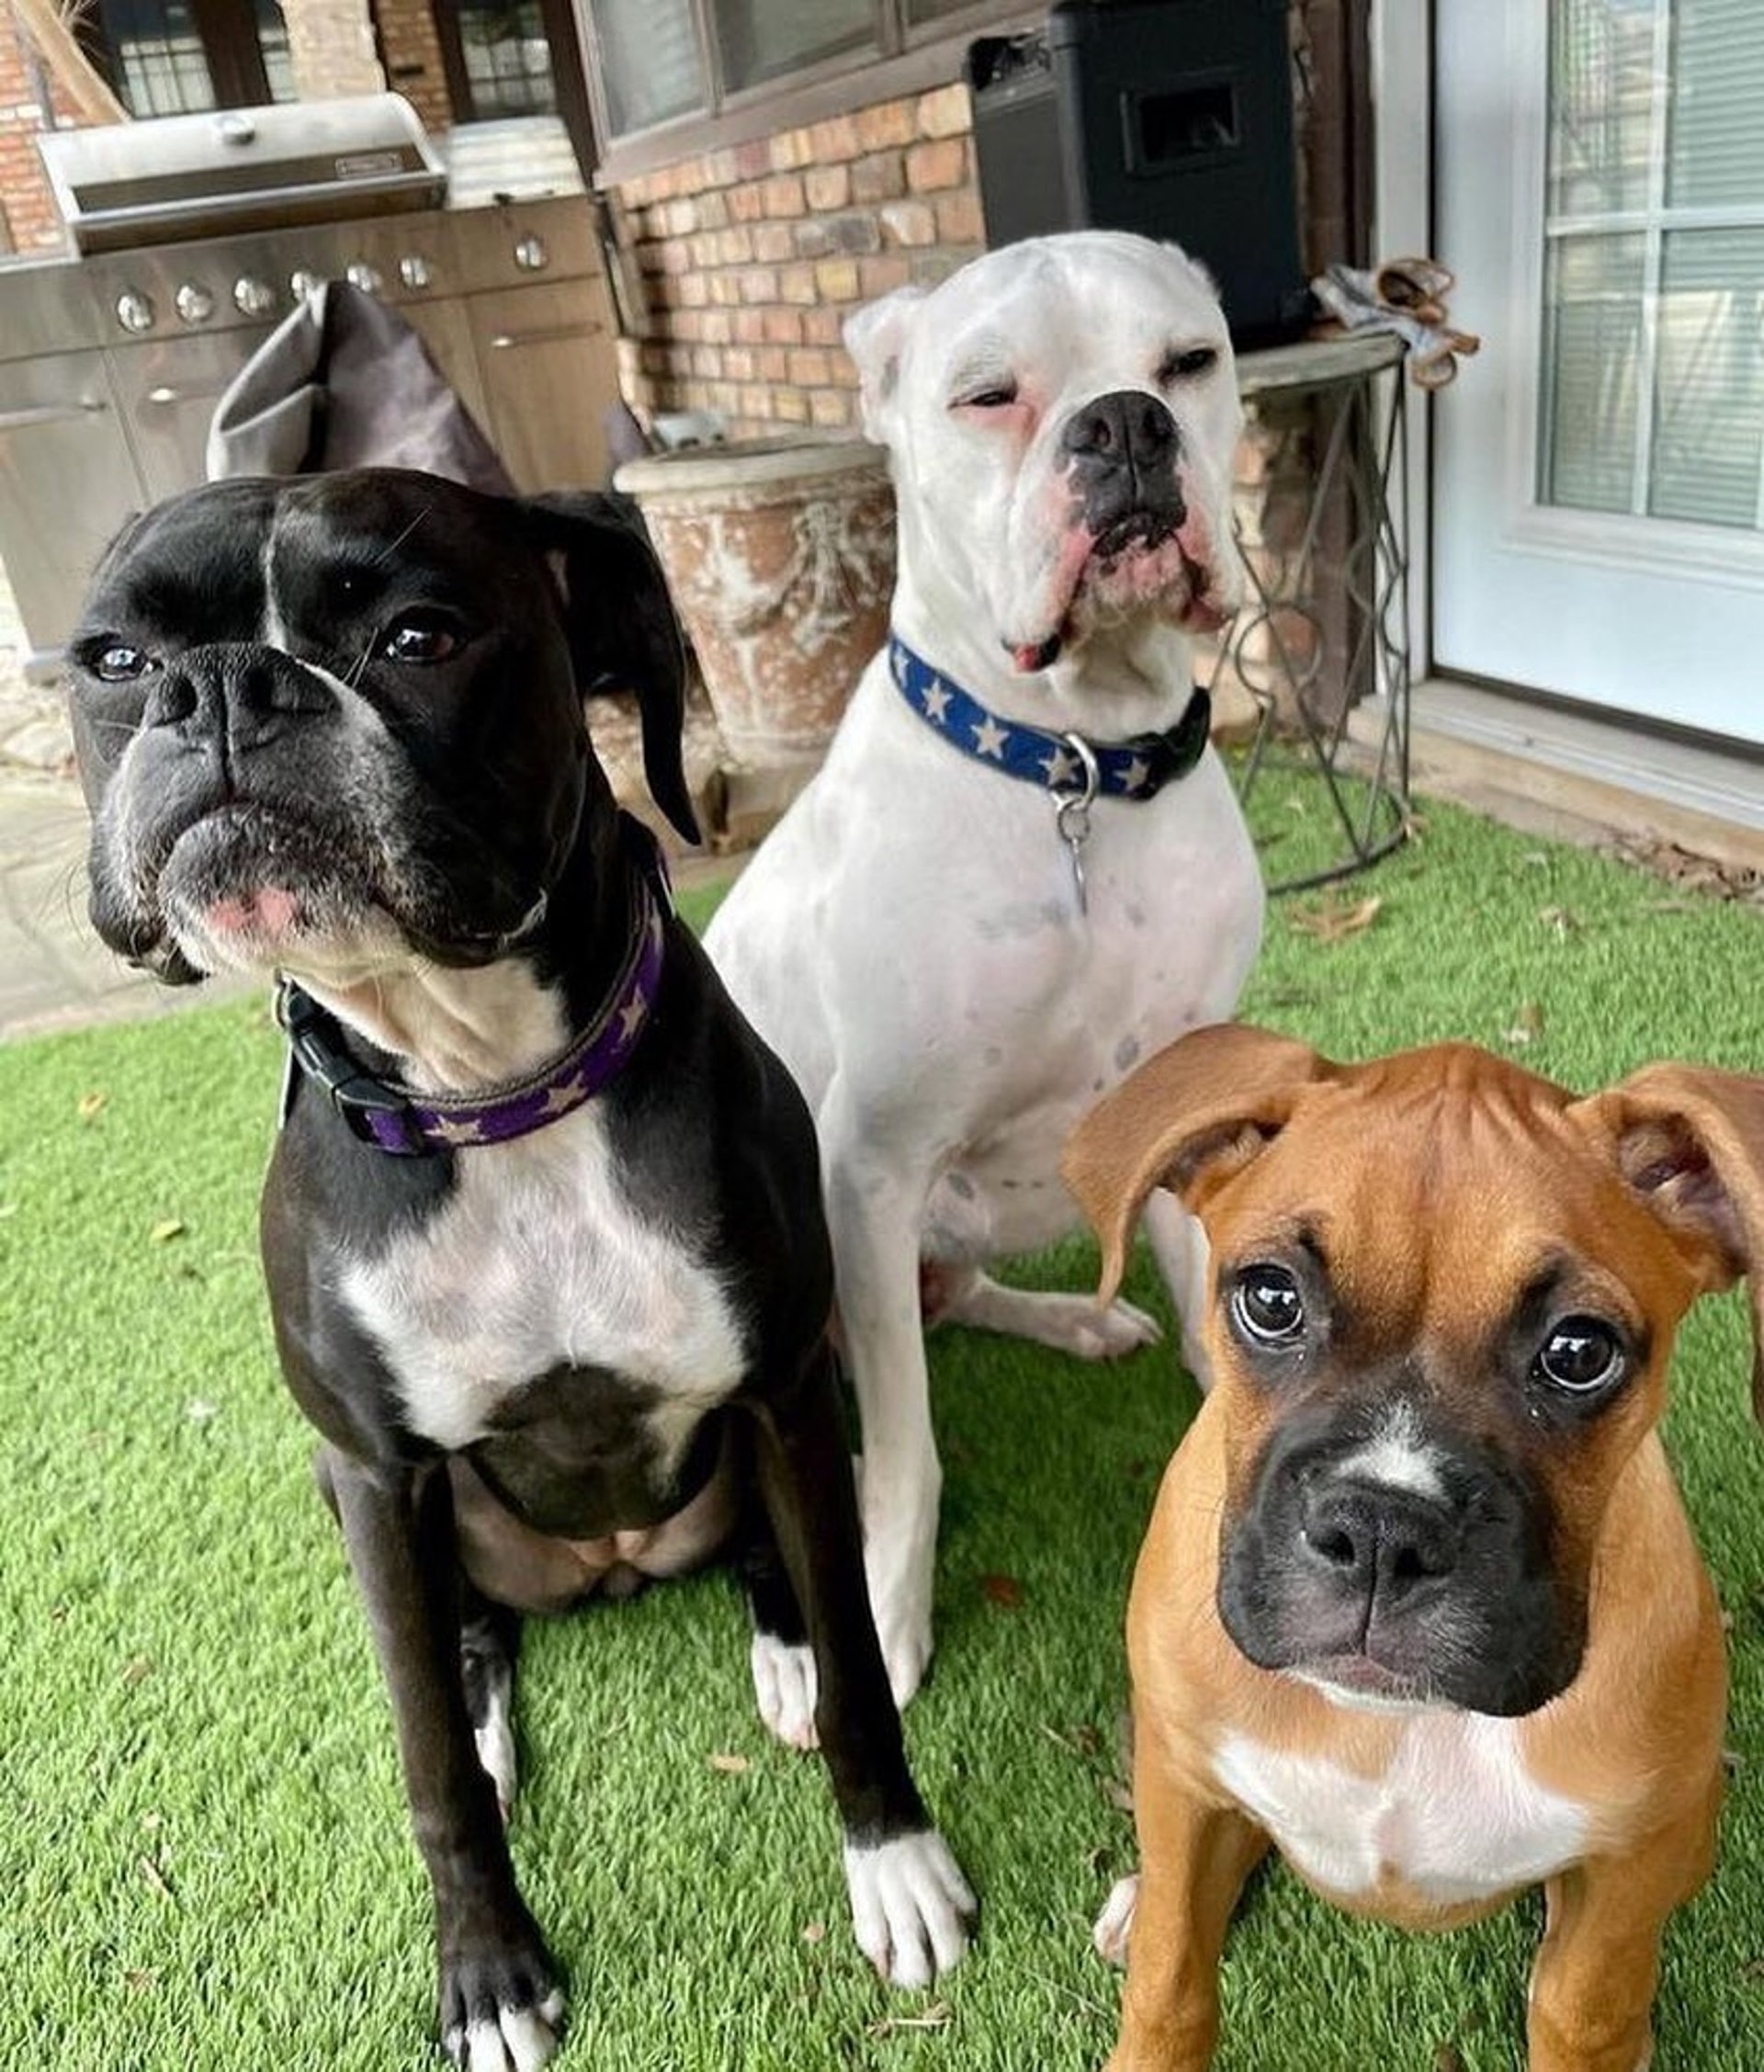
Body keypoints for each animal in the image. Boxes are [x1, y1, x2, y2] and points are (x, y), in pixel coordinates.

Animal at [69, 474, 974, 2072]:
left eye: (420, 634)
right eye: (116, 660)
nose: (226, 686)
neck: (491, 1091)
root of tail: (603, 1564)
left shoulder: (788, 1384)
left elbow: (866, 1669)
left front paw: (896, 1862)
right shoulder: (373, 1470)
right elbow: (425, 1753)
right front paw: (487, 1968)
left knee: (769, 1565)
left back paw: (784, 1653)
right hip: (368, 1500)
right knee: (463, 1635)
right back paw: (492, 1697)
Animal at [705, 231, 1268, 1715]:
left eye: (1190, 361)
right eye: (987, 395)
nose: (1125, 426)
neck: (1076, 767)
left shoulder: (1192, 1105)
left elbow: (1216, 1311)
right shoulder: (871, 1164)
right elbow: (910, 1447)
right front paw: (889, 1617)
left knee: (967, 1295)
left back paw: (1077, 1318)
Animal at [1057, 1031, 1758, 2072]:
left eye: (1579, 1351)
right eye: (1272, 1298)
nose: (1385, 1529)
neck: (1397, 1725)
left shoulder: (1625, 1874)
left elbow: (1584, 2010)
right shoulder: (1181, 1783)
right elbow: (1171, 1986)